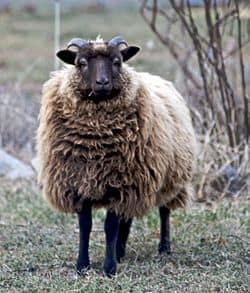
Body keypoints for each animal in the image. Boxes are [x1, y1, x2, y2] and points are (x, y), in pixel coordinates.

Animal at [37, 36, 197, 276]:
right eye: (81, 63)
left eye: (117, 61)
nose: (102, 82)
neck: (95, 140)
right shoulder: (81, 183)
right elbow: (86, 226)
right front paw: (82, 265)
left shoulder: (119, 185)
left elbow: (110, 226)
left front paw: (109, 268)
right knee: (127, 218)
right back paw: (121, 251)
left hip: (170, 176)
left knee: (164, 211)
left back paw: (163, 248)